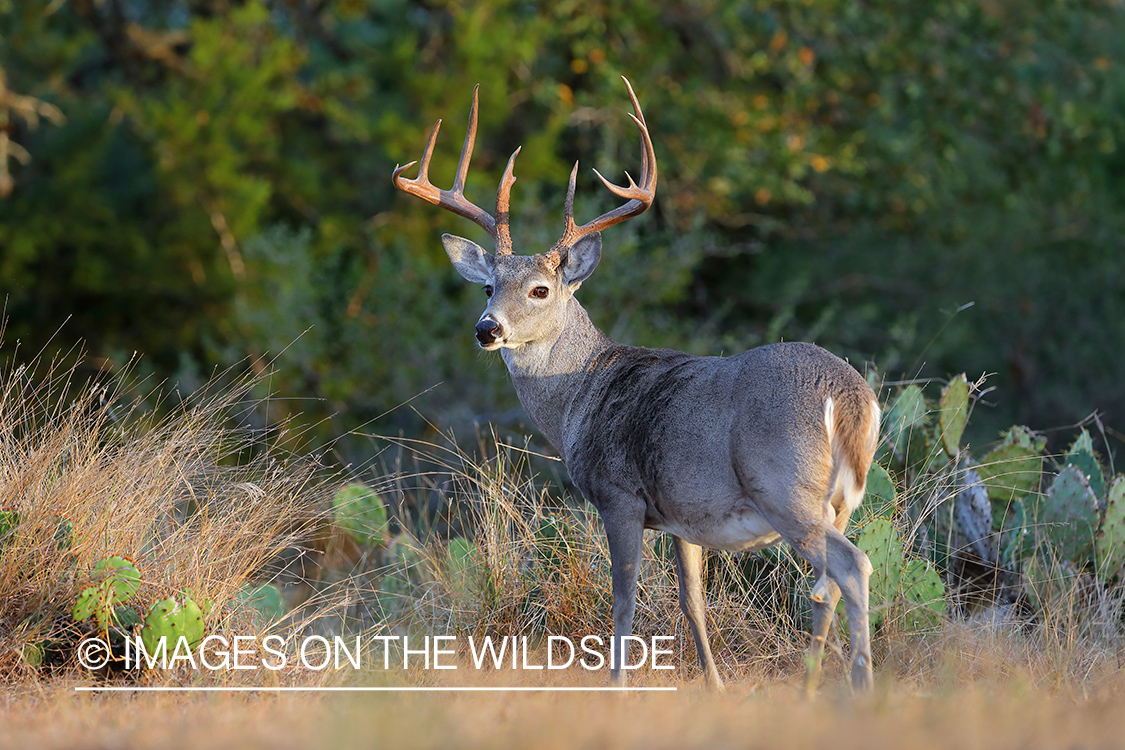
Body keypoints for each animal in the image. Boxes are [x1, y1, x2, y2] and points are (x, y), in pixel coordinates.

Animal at [391, 79, 882, 697]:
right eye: (487, 287)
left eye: (540, 290)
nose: (487, 329)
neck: (581, 392)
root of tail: (851, 397)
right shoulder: (684, 514)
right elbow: (692, 601)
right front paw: (715, 686)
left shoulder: (618, 492)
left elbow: (623, 598)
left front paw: (617, 687)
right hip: (834, 501)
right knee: (826, 585)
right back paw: (817, 681)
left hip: (784, 486)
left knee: (851, 567)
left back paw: (854, 687)